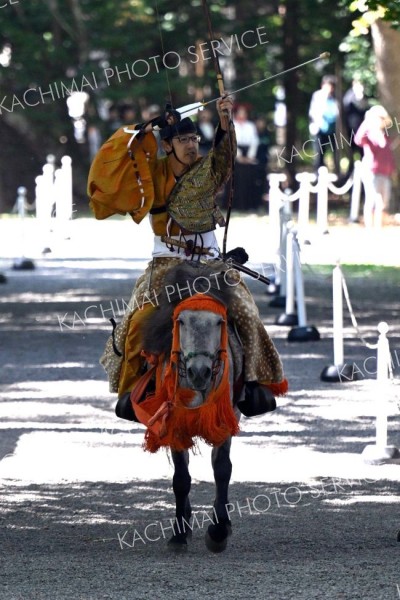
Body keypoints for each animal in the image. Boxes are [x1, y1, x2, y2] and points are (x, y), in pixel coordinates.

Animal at [135, 262, 244, 552]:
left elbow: (222, 468)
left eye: (219, 322)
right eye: (180, 321)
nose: (199, 372)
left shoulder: (224, 419)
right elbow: (181, 479)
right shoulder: (173, 422)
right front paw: (179, 534)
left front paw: (218, 531)